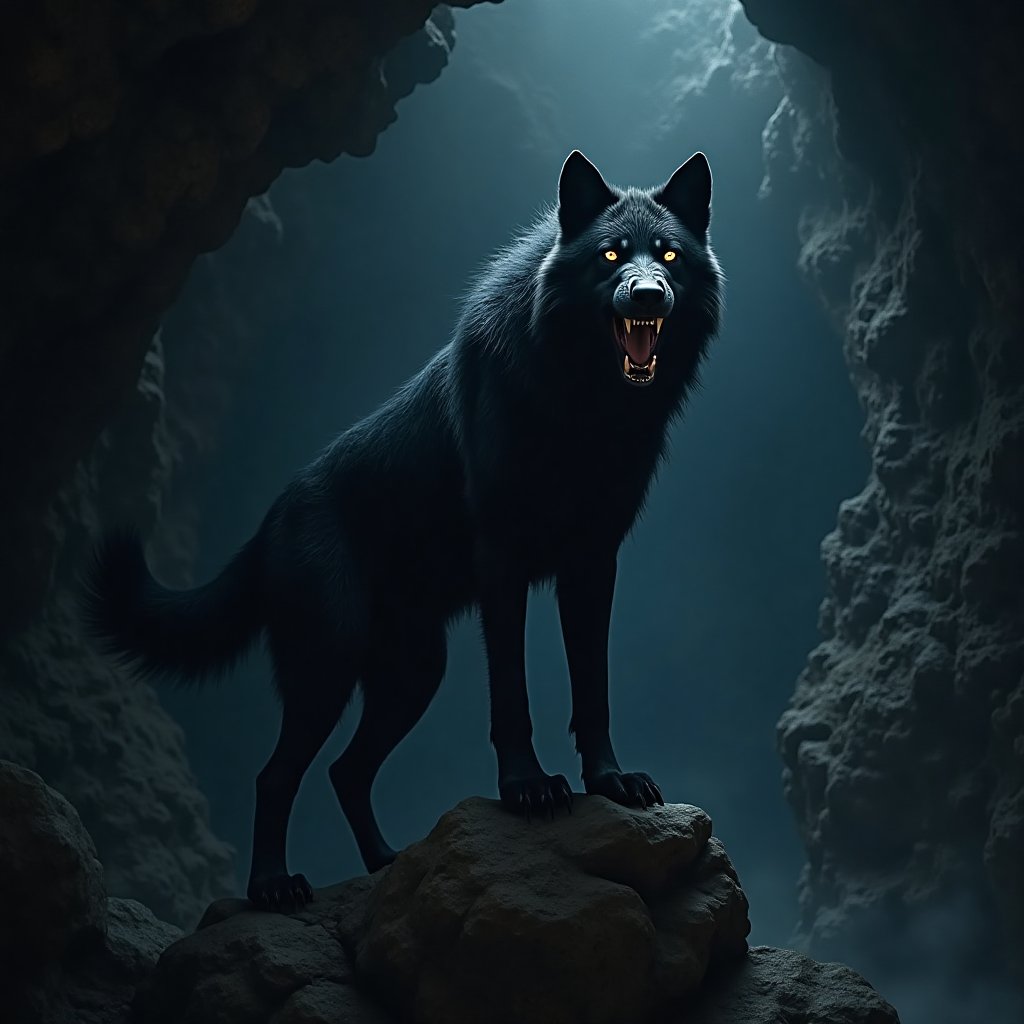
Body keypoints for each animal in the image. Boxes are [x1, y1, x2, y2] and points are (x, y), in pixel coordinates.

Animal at [85, 150, 723, 911]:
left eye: (668, 255)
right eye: (610, 255)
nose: (648, 294)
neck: (580, 406)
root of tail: (270, 521)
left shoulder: (593, 563)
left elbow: (590, 685)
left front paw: (609, 782)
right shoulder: (502, 561)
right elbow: (512, 692)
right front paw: (527, 787)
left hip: (413, 674)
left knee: (345, 771)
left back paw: (386, 862)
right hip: (328, 668)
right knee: (277, 775)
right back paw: (273, 886)